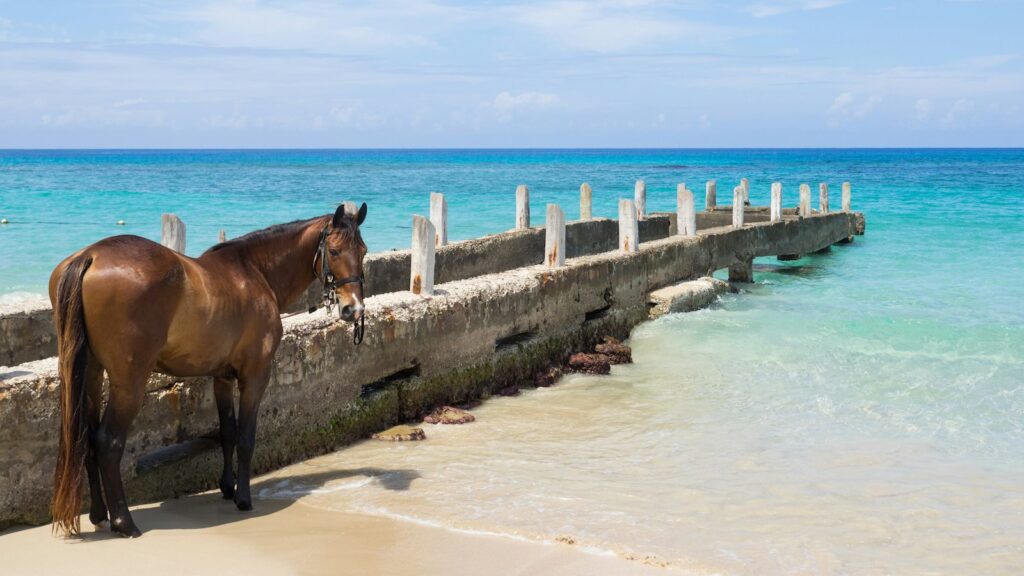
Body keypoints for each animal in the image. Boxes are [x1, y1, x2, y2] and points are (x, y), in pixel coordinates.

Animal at [48, 202, 368, 538]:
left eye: (363, 251)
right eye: (334, 250)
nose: (354, 309)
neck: (254, 272)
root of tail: (91, 255)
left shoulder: (222, 377)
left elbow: (227, 433)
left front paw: (228, 486)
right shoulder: (255, 375)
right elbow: (246, 436)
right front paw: (243, 498)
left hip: (92, 374)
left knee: (87, 439)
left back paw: (99, 514)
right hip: (129, 384)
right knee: (108, 443)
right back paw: (124, 522)